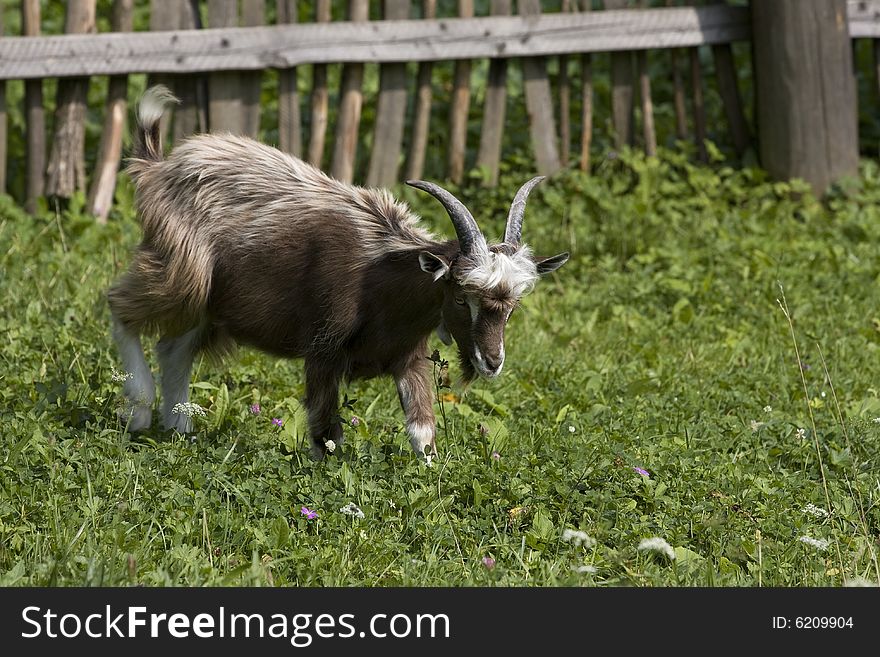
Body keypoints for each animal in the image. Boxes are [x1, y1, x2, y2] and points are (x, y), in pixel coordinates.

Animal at [108, 84, 572, 458]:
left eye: (511, 307)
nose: (491, 362)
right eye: (461, 296)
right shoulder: (323, 350)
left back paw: (179, 427)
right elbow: (326, 435)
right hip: (182, 272)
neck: (380, 279)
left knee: (173, 348)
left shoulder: (408, 357)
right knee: (119, 305)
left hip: (212, 307)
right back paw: (140, 410)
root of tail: (158, 168)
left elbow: (423, 433)